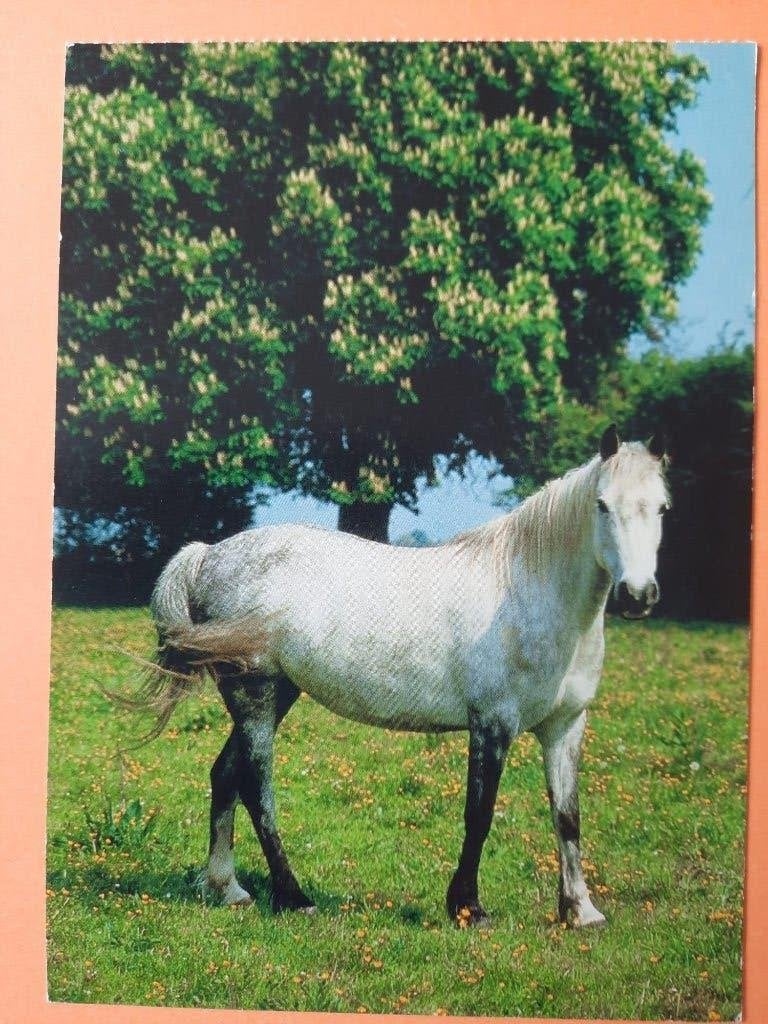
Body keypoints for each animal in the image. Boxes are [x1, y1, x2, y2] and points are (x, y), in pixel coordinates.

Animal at [127, 424, 668, 928]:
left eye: (662, 508)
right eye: (602, 505)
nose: (638, 595)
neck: (528, 590)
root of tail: (208, 555)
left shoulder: (565, 727)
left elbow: (567, 816)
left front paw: (580, 910)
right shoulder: (492, 724)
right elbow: (479, 814)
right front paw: (468, 908)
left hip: (278, 693)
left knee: (225, 774)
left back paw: (227, 888)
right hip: (255, 694)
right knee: (257, 789)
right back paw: (293, 897)